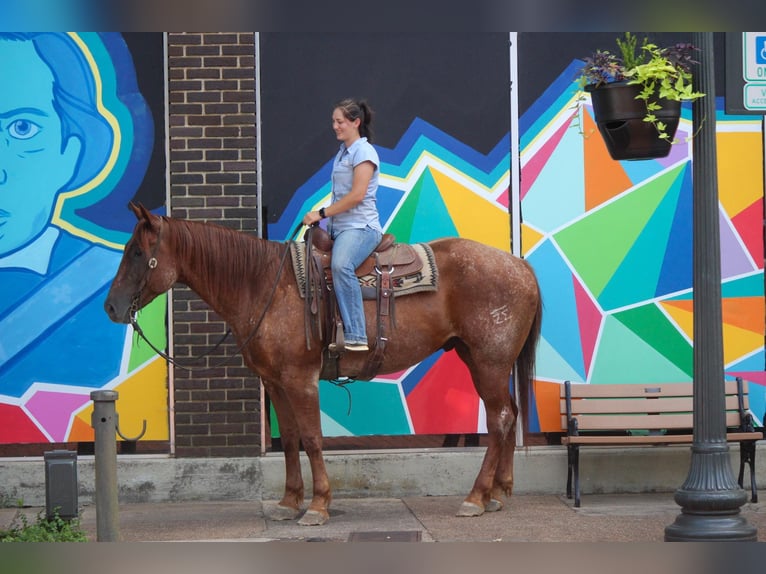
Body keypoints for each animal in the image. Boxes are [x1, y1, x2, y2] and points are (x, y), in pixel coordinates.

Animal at [105, 202, 544, 528]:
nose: (111, 307)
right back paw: (498, 492)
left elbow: (313, 439)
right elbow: (291, 440)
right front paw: (289, 502)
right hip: (478, 358)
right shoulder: (275, 382)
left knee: (500, 418)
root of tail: (519, 265)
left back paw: (475, 497)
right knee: (508, 413)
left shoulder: (301, 380)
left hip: (489, 360)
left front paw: (317, 506)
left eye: (138, 252)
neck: (261, 284)